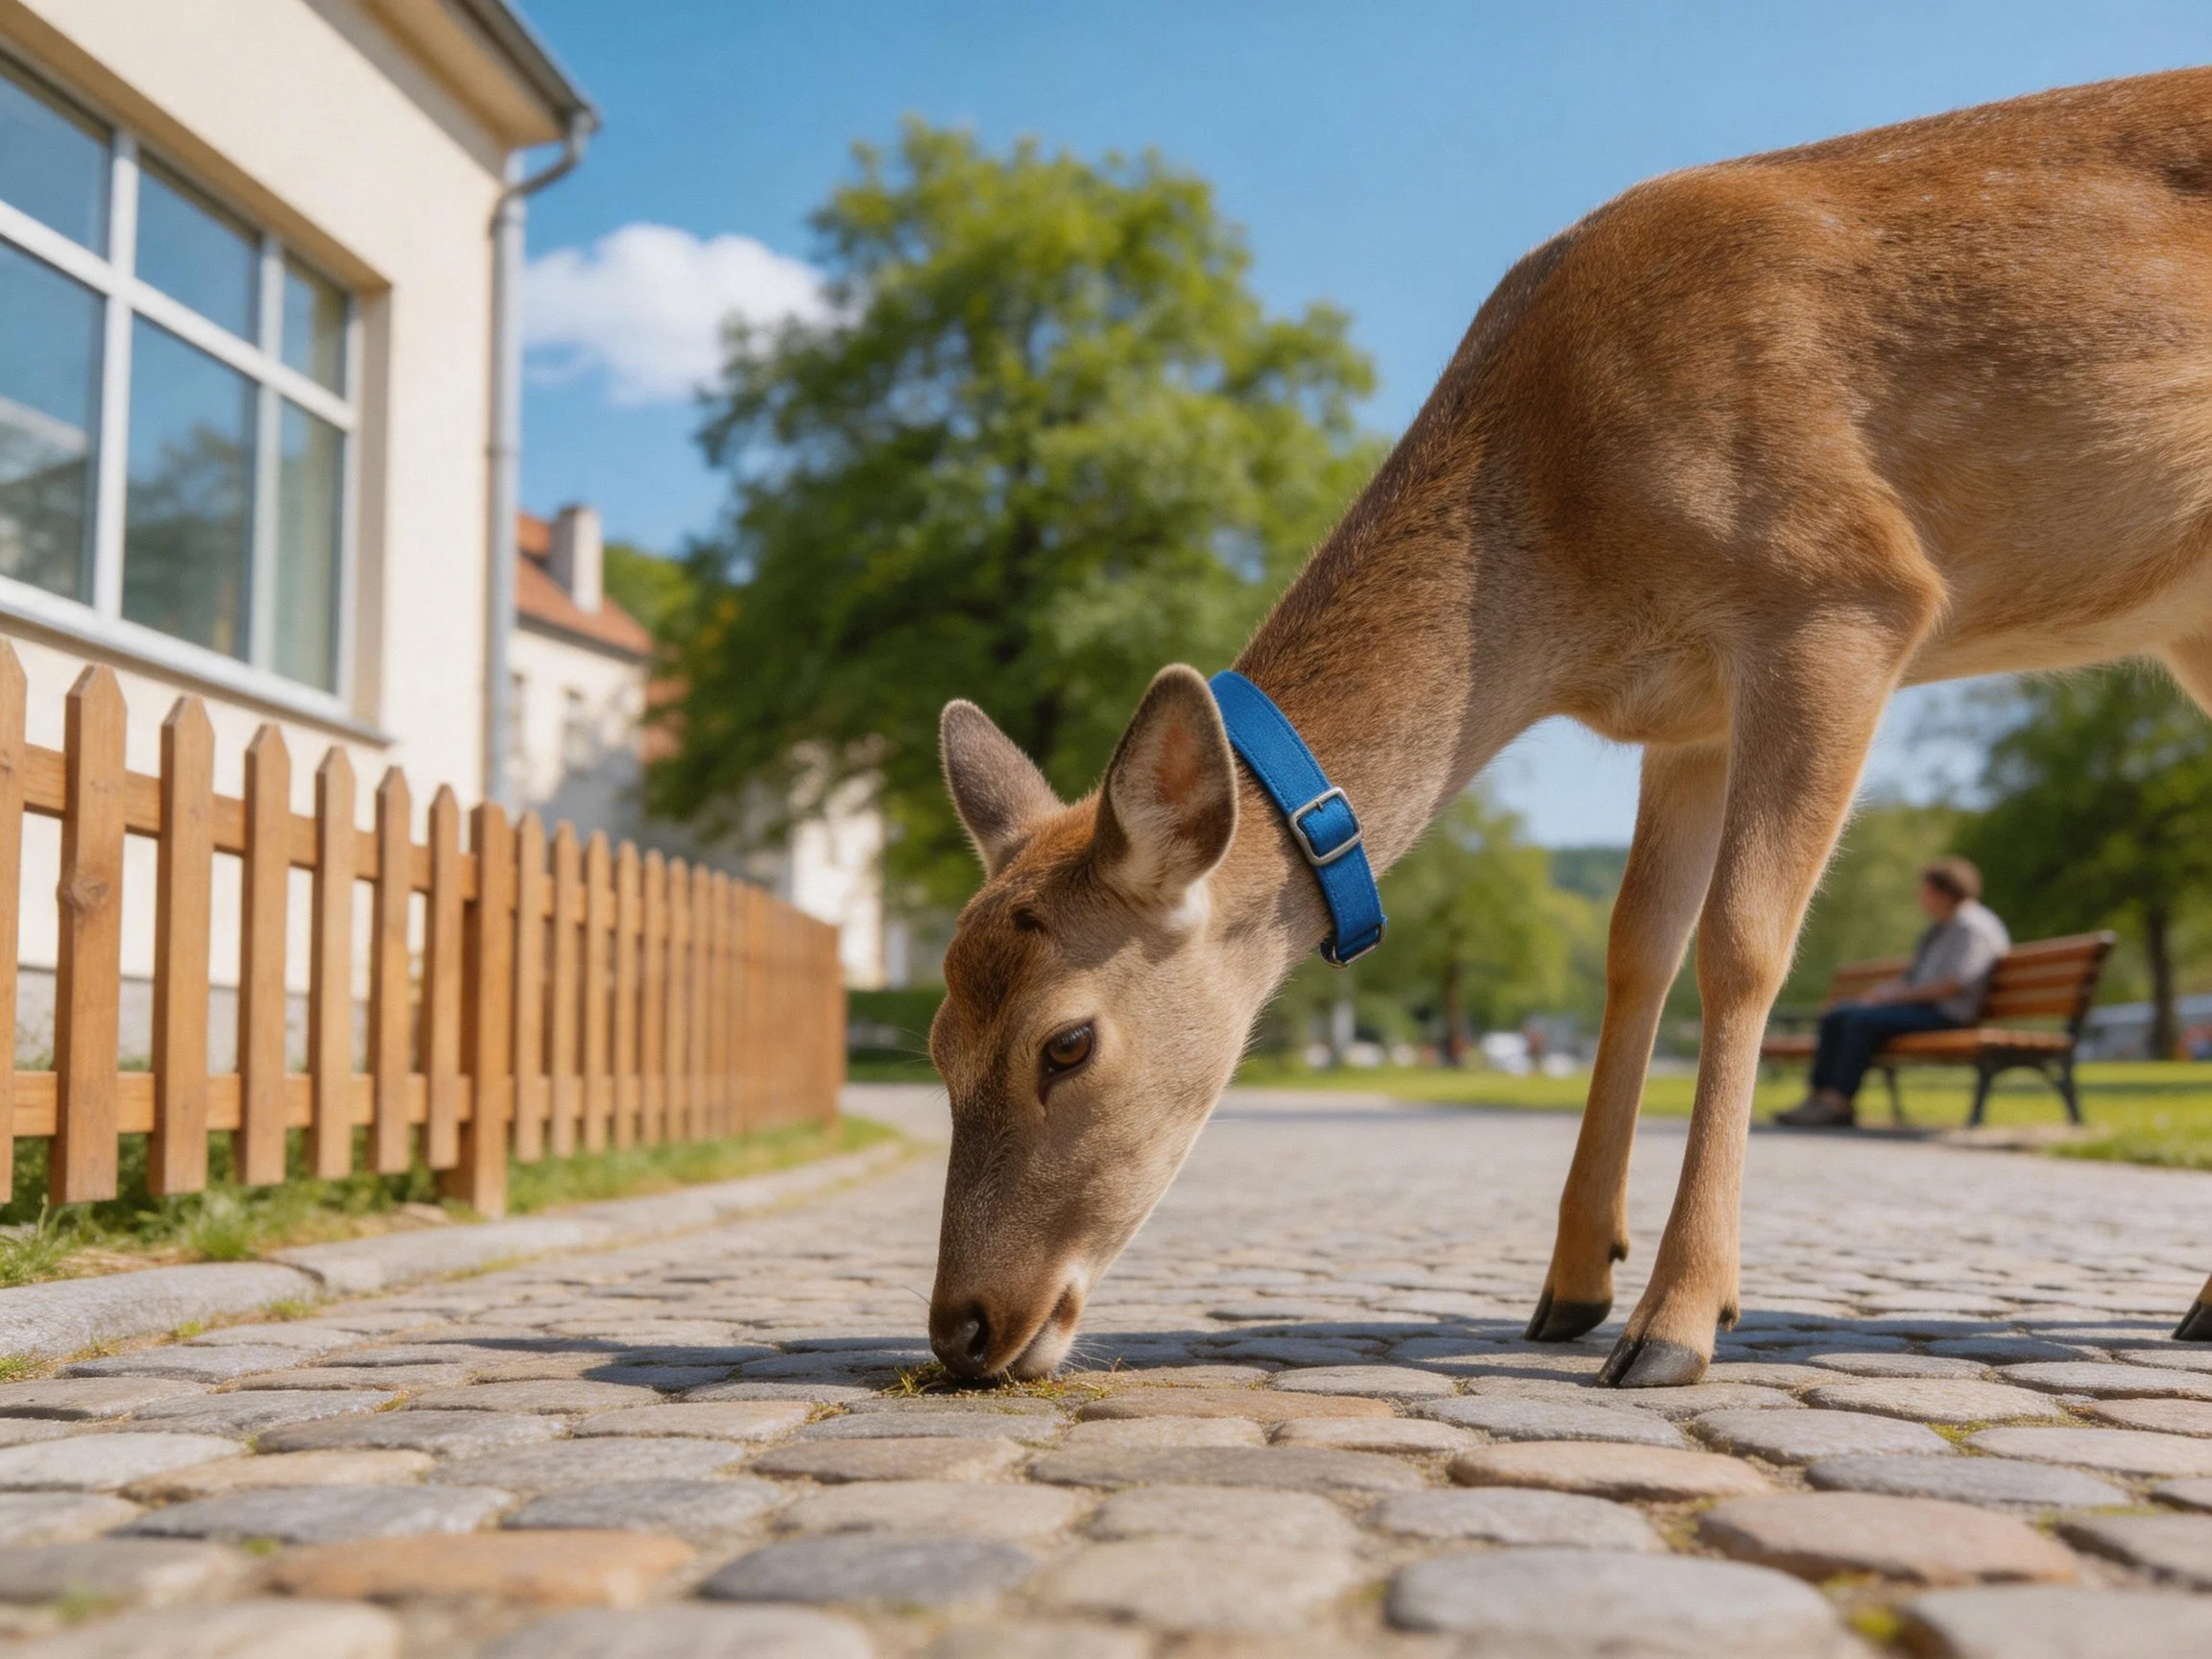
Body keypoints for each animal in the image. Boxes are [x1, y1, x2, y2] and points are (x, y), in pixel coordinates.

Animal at [925, 67, 2212, 1388]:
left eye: (1066, 1043)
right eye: (933, 1043)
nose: (962, 1328)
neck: (1571, 577)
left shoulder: (1838, 595)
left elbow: (1742, 944)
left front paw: (1675, 1322)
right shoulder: (1687, 716)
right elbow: (1634, 950)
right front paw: (1571, 1287)